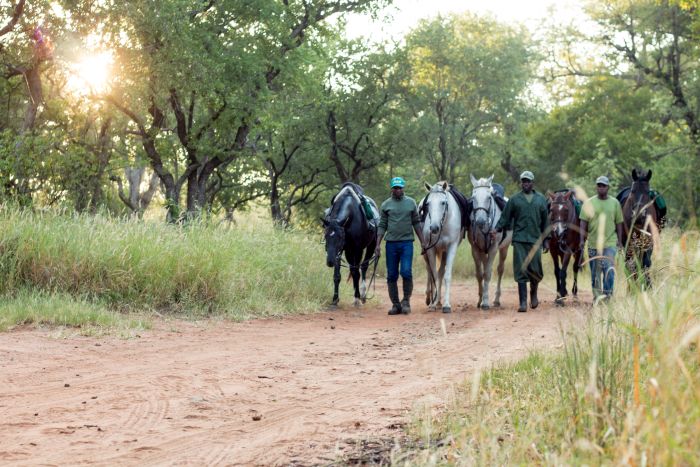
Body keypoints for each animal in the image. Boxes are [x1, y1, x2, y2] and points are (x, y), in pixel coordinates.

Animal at [420, 181, 466, 313]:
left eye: (443, 203)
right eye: (428, 204)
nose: (434, 228)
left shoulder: (451, 247)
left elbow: (446, 275)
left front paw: (446, 304)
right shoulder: (430, 249)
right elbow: (434, 274)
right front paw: (433, 304)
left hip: (444, 252)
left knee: (441, 272)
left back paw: (439, 301)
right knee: (429, 270)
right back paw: (430, 298)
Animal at [468, 175, 512, 310]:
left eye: (488, 197)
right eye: (473, 197)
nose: (480, 221)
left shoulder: (493, 248)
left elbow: (487, 273)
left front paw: (486, 302)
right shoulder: (476, 248)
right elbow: (479, 274)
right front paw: (480, 300)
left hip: (504, 248)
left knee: (500, 269)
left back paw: (496, 300)